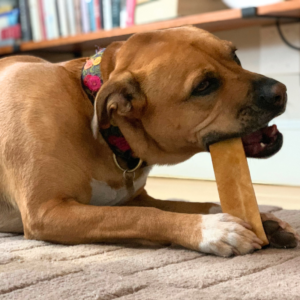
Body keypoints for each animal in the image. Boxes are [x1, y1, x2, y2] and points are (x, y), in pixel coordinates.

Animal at [0, 26, 298, 255]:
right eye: (203, 86)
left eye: (235, 56)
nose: (281, 91)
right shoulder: (46, 212)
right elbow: (140, 216)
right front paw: (212, 230)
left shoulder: (135, 198)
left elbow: (192, 204)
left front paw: (261, 219)